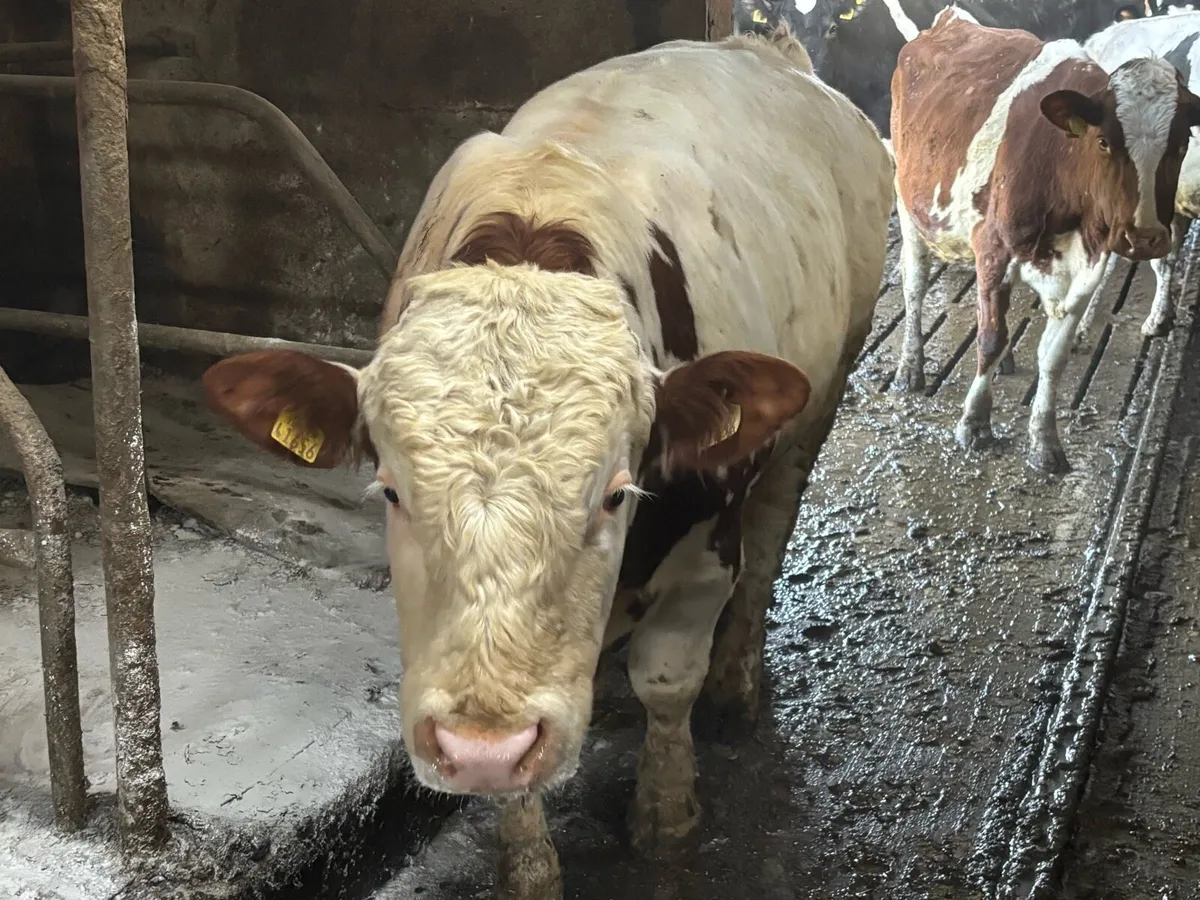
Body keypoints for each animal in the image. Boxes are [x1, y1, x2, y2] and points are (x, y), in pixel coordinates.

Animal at [200, 26, 894, 899]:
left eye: (616, 494)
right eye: (390, 491)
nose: (482, 748)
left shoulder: (706, 544)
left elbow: (669, 677)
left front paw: (666, 817)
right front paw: (528, 866)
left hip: (825, 390)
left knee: (773, 532)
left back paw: (737, 685)